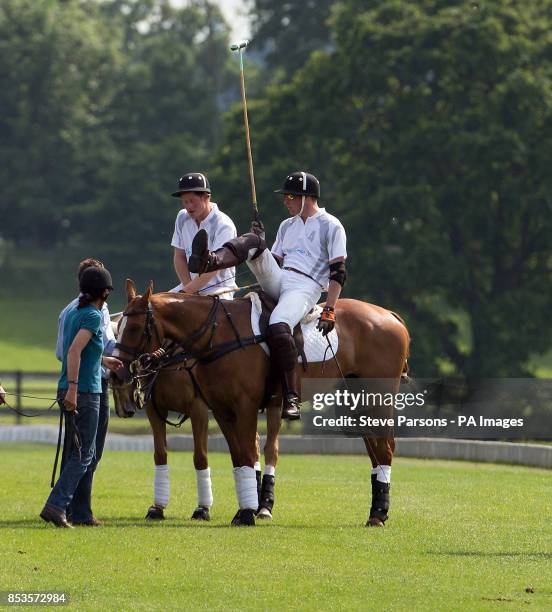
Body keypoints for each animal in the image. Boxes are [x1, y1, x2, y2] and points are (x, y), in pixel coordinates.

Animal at [112, 280, 410, 524]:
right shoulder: (220, 409)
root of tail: (391, 315)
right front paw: (243, 509)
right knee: (373, 447)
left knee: (385, 447)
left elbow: (241, 454)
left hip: (378, 397)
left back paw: (378, 515)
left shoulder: (238, 407)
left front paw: (242, 513)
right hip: (356, 396)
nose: (116, 371)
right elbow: (237, 456)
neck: (217, 336)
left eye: (135, 327)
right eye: (120, 327)